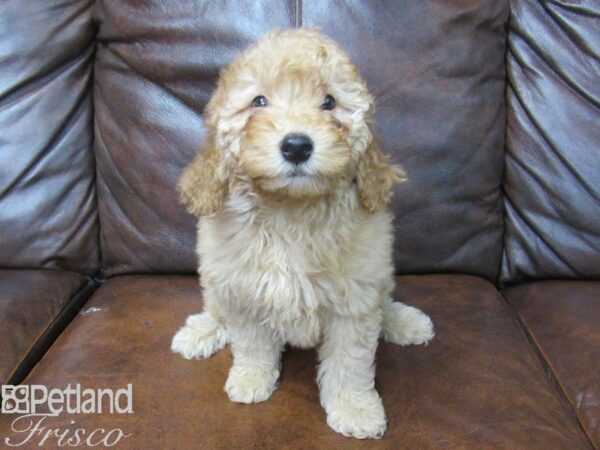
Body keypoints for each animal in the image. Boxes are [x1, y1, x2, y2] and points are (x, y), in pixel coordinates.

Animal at [171, 29, 434, 440]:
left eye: (329, 102)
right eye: (258, 101)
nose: (296, 145)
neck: (289, 212)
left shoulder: (354, 301)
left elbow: (349, 363)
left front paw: (354, 408)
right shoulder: (243, 290)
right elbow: (252, 344)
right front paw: (251, 379)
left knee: (384, 301)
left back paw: (403, 321)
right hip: (216, 280)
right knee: (216, 308)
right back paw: (199, 332)